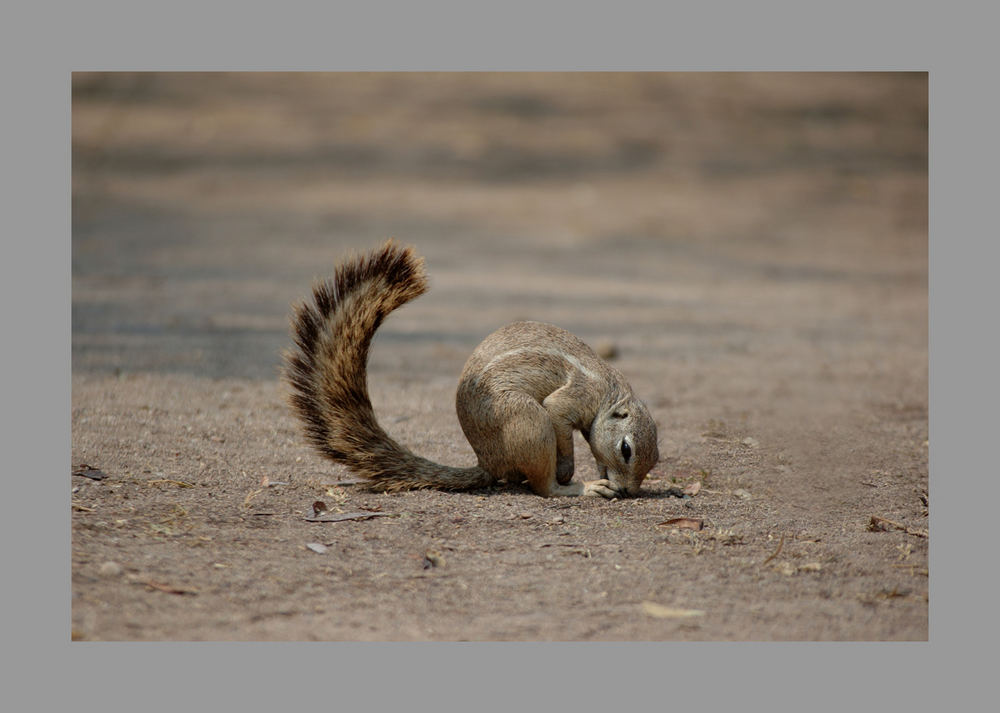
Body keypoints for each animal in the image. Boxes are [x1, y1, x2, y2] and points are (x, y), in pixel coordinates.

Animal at [284, 242, 656, 498]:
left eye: (654, 460)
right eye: (627, 450)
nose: (629, 491)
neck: (610, 393)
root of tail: (487, 461)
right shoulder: (576, 396)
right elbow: (559, 418)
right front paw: (569, 468)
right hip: (527, 421)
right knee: (542, 485)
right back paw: (577, 487)